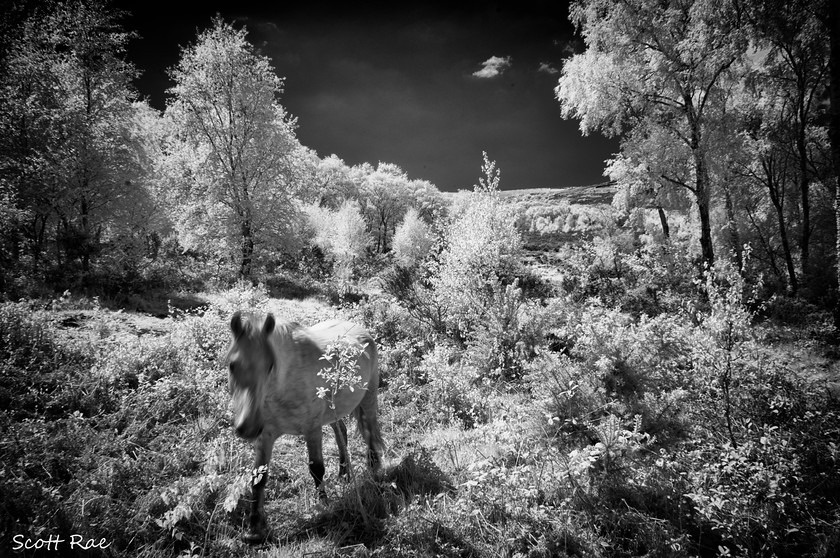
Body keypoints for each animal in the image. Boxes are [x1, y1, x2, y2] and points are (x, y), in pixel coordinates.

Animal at [223, 312, 380, 544]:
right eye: (232, 365)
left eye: (270, 365)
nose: (248, 427)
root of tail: (362, 330)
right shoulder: (265, 436)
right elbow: (259, 478)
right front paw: (254, 530)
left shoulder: (312, 429)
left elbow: (316, 469)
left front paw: (323, 507)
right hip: (333, 412)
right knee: (341, 433)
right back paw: (344, 475)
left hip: (369, 398)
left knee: (370, 433)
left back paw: (374, 470)